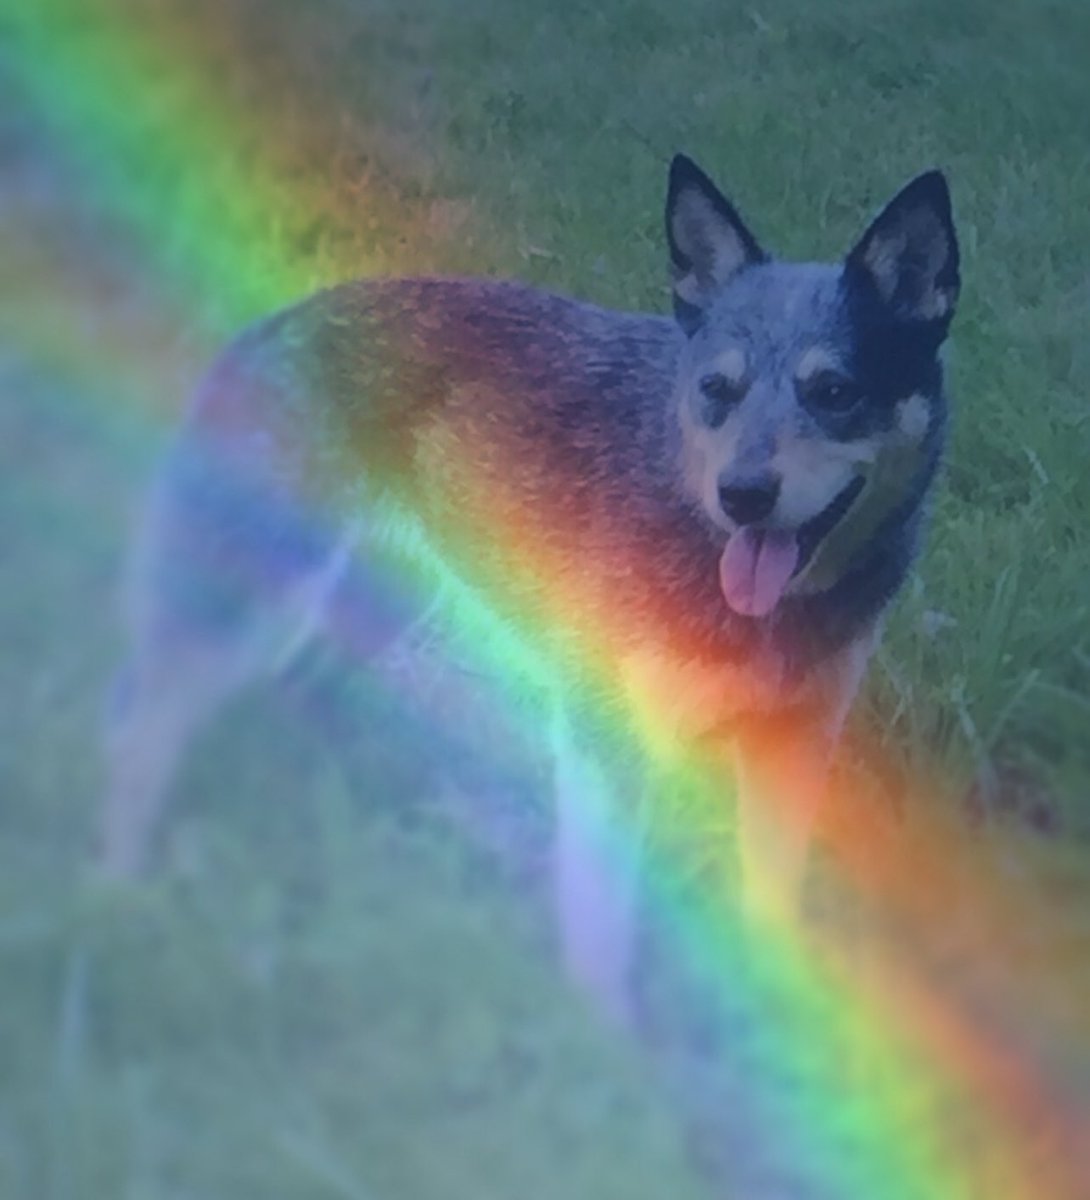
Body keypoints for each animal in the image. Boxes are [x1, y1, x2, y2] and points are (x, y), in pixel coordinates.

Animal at [100, 154, 955, 1022]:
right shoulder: (605, 747)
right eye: (718, 389)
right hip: (255, 609)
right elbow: (602, 936)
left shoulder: (793, 750)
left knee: (285, 698)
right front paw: (601, 1042)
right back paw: (119, 899)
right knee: (139, 737)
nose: (743, 495)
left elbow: (769, 914)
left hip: (368, 610)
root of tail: (267, 324)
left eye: (835, 393)